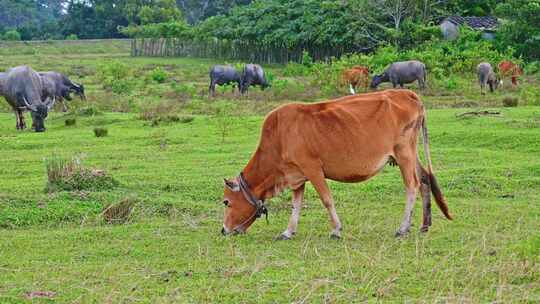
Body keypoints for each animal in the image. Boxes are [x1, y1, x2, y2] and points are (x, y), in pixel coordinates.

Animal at [221, 89, 454, 239]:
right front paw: (288, 231)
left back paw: (403, 228)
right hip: (409, 154)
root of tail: (408, 94)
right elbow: (296, 205)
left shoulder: (313, 169)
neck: (278, 138)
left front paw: (336, 230)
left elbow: (327, 200)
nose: (224, 230)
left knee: (412, 185)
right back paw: (424, 225)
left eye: (226, 202)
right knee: (424, 179)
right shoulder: (297, 177)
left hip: (404, 152)